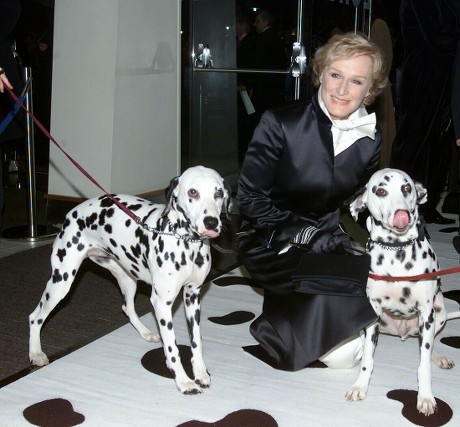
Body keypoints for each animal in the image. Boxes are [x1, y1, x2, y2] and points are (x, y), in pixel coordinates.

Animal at [27, 166, 234, 396]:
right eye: (193, 192)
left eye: (218, 193)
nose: (211, 222)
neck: (185, 242)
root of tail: (72, 213)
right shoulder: (162, 303)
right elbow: (172, 347)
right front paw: (183, 380)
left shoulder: (192, 296)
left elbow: (196, 341)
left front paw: (200, 373)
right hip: (61, 283)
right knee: (35, 317)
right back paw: (36, 353)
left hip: (127, 279)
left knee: (127, 307)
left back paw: (146, 332)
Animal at [346, 169, 460, 416]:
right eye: (380, 191)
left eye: (407, 188)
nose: (402, 214)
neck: (396, 250)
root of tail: (403, 332)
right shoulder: (372, 311)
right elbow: (368, 359)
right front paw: (360, 386)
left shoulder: (426, 312)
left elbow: (423, 364)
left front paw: (425, 397)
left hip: (438, 312)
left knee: (428, 344)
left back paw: (438, 356)